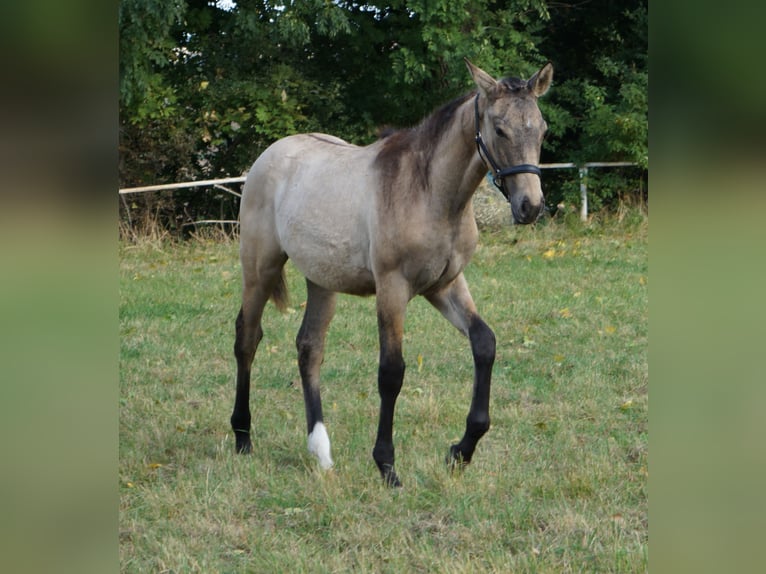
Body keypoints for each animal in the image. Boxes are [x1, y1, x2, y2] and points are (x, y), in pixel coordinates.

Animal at [232, 59, 553, 486]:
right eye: (500, 129)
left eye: (541, 129)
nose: (529, 206)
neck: (429, 191)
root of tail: (269, 155)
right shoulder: (392, 288)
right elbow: (391, 372)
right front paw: (387, 465)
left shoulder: (445, 285)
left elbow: (484, 343)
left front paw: (461, 450)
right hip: (259, 268)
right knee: (247, 339)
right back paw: (242, 437)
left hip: (322, 280)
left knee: (309, 348)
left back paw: (321, 452)